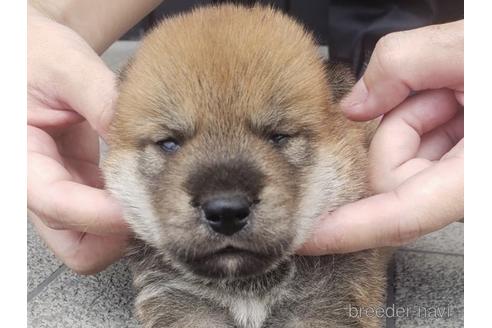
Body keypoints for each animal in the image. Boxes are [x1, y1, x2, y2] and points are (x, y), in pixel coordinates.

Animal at [104, 5, 388, 328]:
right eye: (169, 143)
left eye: (278, 136)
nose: (226, 211)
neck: (248, 286)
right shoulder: (181, 303)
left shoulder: (328, 303)